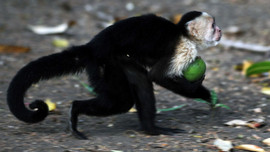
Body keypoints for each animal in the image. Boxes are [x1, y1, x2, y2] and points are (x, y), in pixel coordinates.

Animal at [6, 10, 221, 139]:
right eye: (212, 26)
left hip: (120, 60)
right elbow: (158, 76)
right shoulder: (183, 48)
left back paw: (151, 129)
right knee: (121, 101)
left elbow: (151, 78)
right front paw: (204, 93)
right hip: (104, 63)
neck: (183, 34)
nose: (220, 31)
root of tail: (92, 47)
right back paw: (75, 110)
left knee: (139, 81)